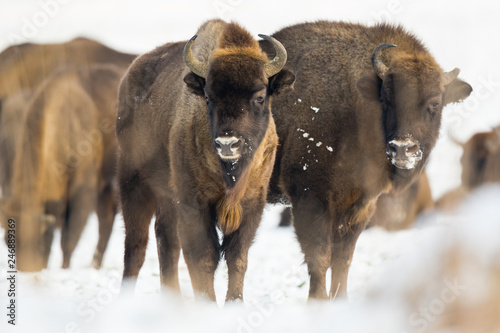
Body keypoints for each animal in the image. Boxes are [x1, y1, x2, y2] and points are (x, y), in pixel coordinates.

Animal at [117, 20, 294, 300]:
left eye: (259, 96)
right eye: (209, 97)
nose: (227, 143)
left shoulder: (251, 203)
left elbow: (237, 256)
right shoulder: (194, 203)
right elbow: (203, 258)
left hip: (166, 195)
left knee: (165, 240)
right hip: (133, 181)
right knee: (136, 245)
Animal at [260, 22, 474, 300]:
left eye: (435, 104)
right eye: (386, 99)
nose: (403, 148)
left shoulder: (361, 204)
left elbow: (343, 259)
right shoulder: (309, 197)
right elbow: (319, 257)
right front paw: (318, 302)